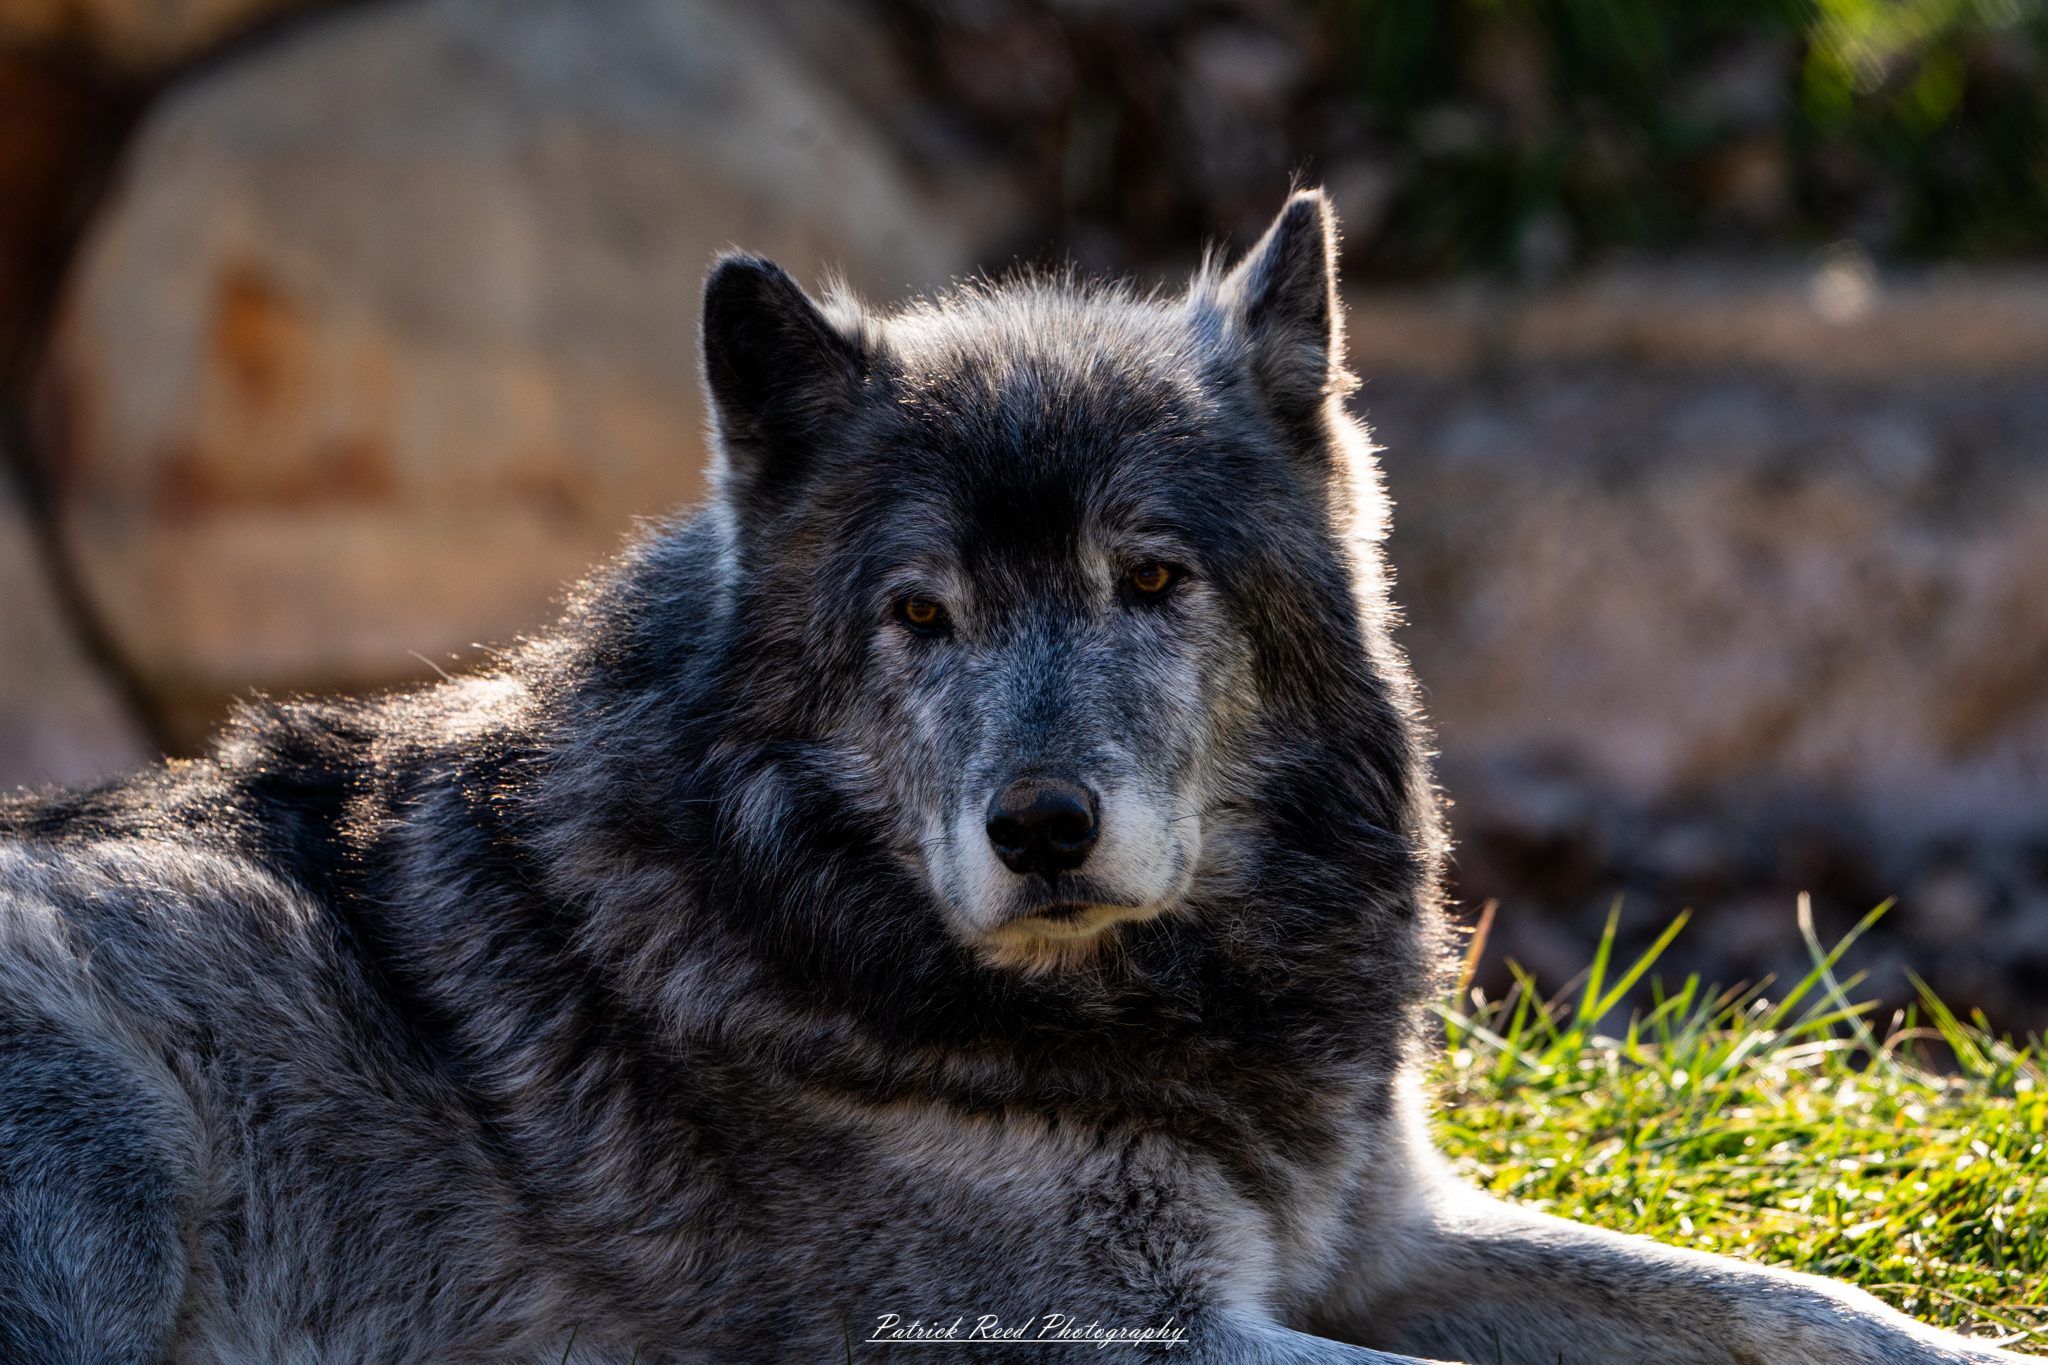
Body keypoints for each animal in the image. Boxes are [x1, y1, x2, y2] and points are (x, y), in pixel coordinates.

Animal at [0, 191, 2027, 1364]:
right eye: (920, 614)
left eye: (1151, 579)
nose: (1040, 828)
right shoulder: (1092, 1335)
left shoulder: (1377, 1240)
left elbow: (1810, 1313)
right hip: (118, 1147)